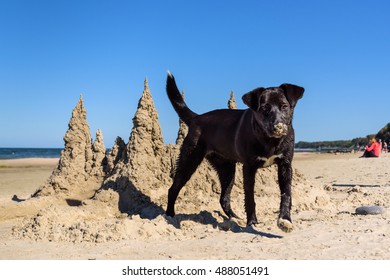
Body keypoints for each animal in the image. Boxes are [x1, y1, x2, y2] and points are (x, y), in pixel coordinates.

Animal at [165, 72, 304, 232]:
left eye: (284, 106)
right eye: (264, 109)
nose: (278, 127)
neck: (270, 141)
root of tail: (197, 118)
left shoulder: (285, 165)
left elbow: (286, 194)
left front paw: (285, 219)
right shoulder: (249, 168)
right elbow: (250, 198)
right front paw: (252, 222)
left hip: (227, 169)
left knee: (223, 198)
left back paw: (234, 218)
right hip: (189, 161)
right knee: (173, 189)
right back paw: (170, 216)